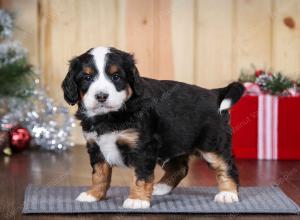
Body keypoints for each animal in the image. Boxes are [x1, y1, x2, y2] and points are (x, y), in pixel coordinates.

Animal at [61, 46, 244, 208]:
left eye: (116, 76)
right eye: (87, 78)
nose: (101, 96)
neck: (109, 117)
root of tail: (215, 94)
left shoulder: (142, 147)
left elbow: (141, 176)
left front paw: (137, 200)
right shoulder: (96, 147)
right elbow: (99, 175)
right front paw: (93, 195)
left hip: (213, 145)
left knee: (227, 167)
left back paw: (228, 194)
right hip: (173, 144)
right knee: (180, 168)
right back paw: (161, 187)